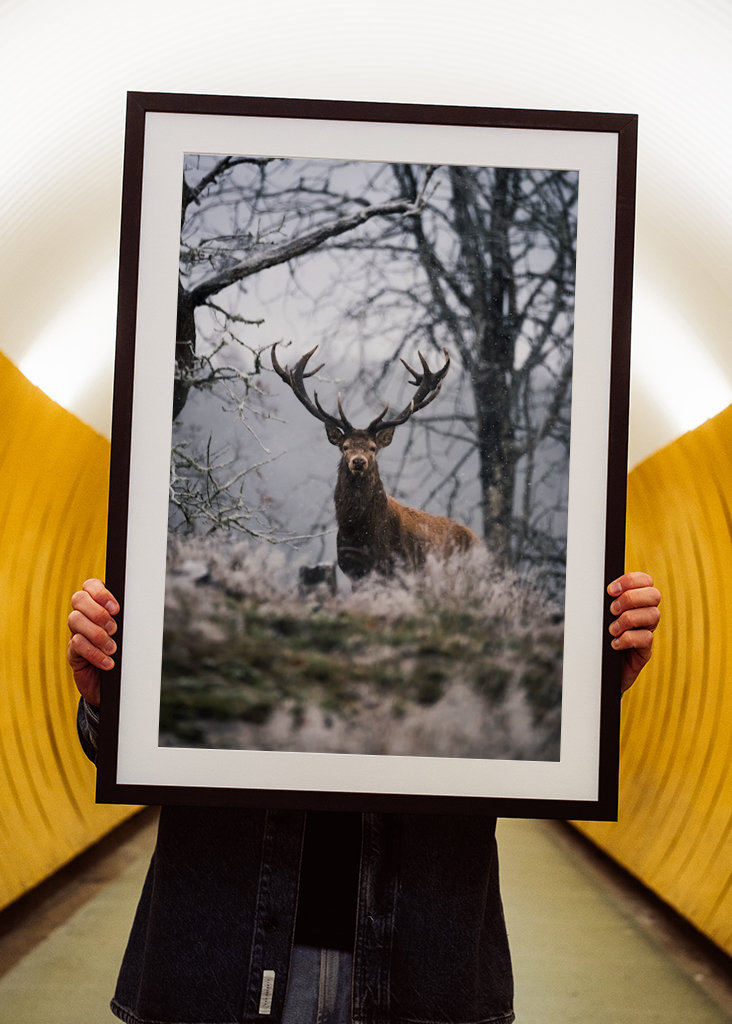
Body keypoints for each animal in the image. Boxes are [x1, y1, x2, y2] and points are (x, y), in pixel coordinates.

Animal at [271, 344, 477, 580]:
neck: (362, 536)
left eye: (372, 448)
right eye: (345, 447)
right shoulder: (353, 571)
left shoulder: (399, 569)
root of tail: (478, 541)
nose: (358, 462)